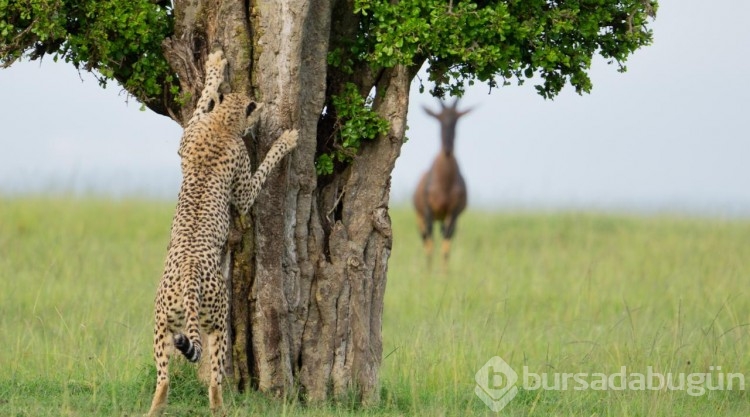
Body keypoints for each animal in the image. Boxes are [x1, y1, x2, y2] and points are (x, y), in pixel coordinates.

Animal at [147, 50, 300, 414]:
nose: (264, 109)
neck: (223, 123)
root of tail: (189, 276)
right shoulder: (242, 191)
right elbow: (261, 172)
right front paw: (285, 141)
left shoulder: (187, 139)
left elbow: (203, 99)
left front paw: (215, 67)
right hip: (217, 322)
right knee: (215, 379)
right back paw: (219, 407)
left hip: (162, 325)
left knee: (164, 378)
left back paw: (154, 407)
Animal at [414, 99, 472, 264]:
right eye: (438, 118)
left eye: (457, 119)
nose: (447, 149)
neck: (444, 183)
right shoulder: (428, 213)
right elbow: (430, 246)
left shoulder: (453, 213)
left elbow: (446, 247)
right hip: (421, 217)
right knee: (425, 239)